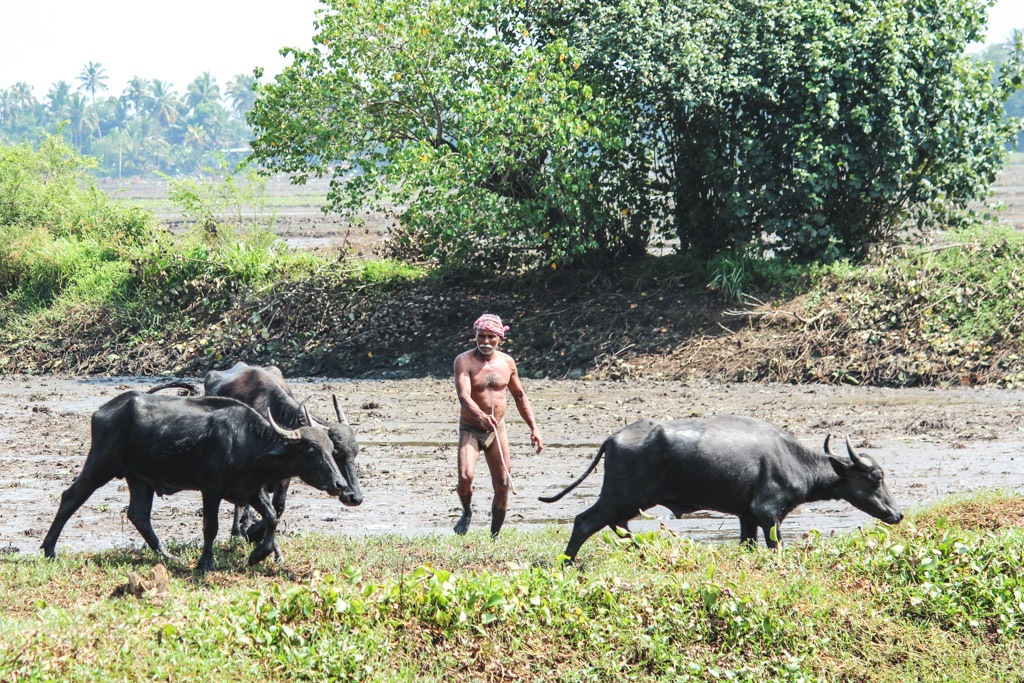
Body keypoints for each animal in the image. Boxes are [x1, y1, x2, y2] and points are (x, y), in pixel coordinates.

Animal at [41, 389, 346, 573]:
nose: (340, 484)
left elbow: (271, 517)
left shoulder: (250, 490)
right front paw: (205, 562)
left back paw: (167, 556)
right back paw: (48, 549)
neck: (248, 443)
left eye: (331, 448)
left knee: (138, 515)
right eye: (311, 449)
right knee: (71, 497)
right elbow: (210, 527)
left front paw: (258, 554)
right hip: (100, 465)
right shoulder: (211, 489)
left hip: (139, 479)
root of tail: (103, 410)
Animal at [201, 360, 362, 540]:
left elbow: (278, 506)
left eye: (355, 453)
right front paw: (248, 529)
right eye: (335, 453)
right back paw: (237, 530)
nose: (355, 497)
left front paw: (255, 531)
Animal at [540, 417, 901, 561]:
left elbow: (747, 545)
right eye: (877, 477)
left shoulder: (747, 517)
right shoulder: (768, 514)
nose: (896, 514)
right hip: (619, 496)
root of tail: (612, 438)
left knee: (618, 525)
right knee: (585, 522)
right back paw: (566, 563)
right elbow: (776, 547)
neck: (792, 459)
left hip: (627, 502)